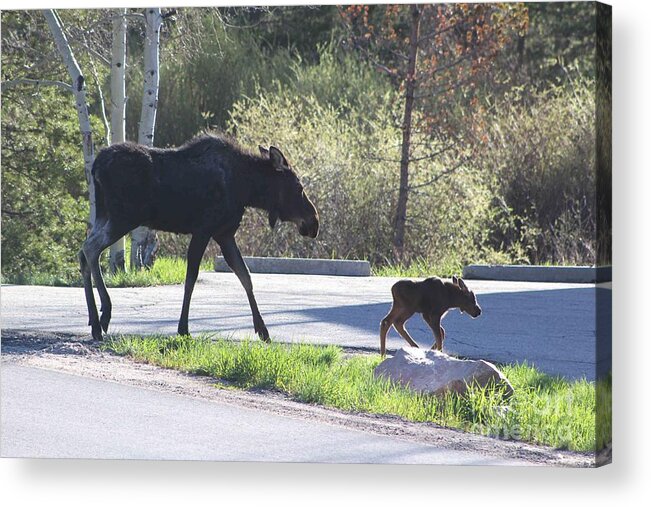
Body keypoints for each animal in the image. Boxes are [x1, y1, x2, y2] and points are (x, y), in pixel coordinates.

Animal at [80, 134, 320, 342]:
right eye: (298, 187)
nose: (314, 223)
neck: (248, 189)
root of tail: (96, 165)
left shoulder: (224, 234)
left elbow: (246, 276)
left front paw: (262, 329)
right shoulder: (204, 230)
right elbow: (191, 279)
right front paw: (183, 328)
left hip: (105, 214)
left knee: (83, 252)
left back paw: (93, 321)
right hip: (123, 217)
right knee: (91, 249)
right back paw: (104, 316)